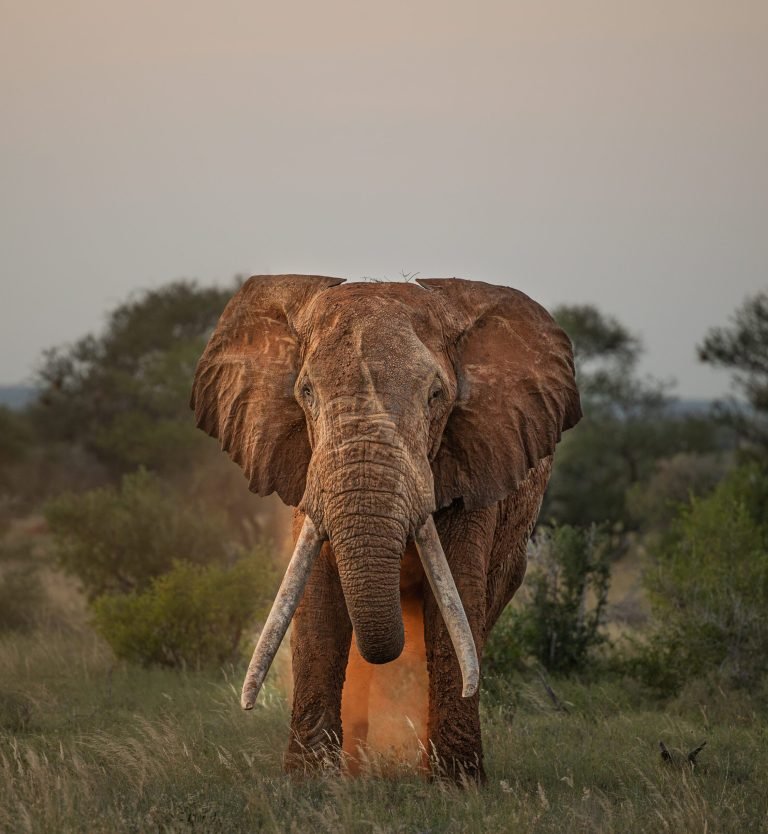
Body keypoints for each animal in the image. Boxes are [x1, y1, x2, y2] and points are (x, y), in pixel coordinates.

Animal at [191, 275, 581, 781]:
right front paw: (309, 783)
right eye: (306, 392)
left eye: (436, 396)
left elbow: (454, 607)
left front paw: (457, 784)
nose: (247, 708)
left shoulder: (475, 461)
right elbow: (318, 603)